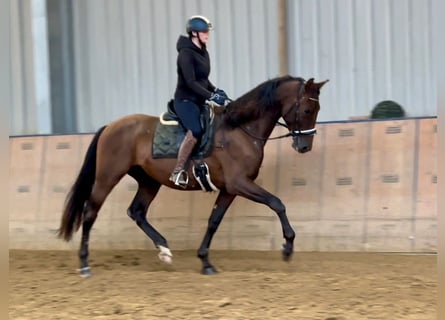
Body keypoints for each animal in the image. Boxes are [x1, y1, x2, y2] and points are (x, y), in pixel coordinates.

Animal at [56, 74, 326, 276]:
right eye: (307, 109)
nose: (305, 146)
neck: (240, 129)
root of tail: (110, 126)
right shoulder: (240, 183)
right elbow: (277, 203)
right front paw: (288, 246)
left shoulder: (230, 189)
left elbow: (214, 221)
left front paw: (205, 262)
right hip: (108, 176)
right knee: (90, 212)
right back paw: (84, 264)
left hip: (149, 181)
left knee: (137, 211)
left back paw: (164, 250)